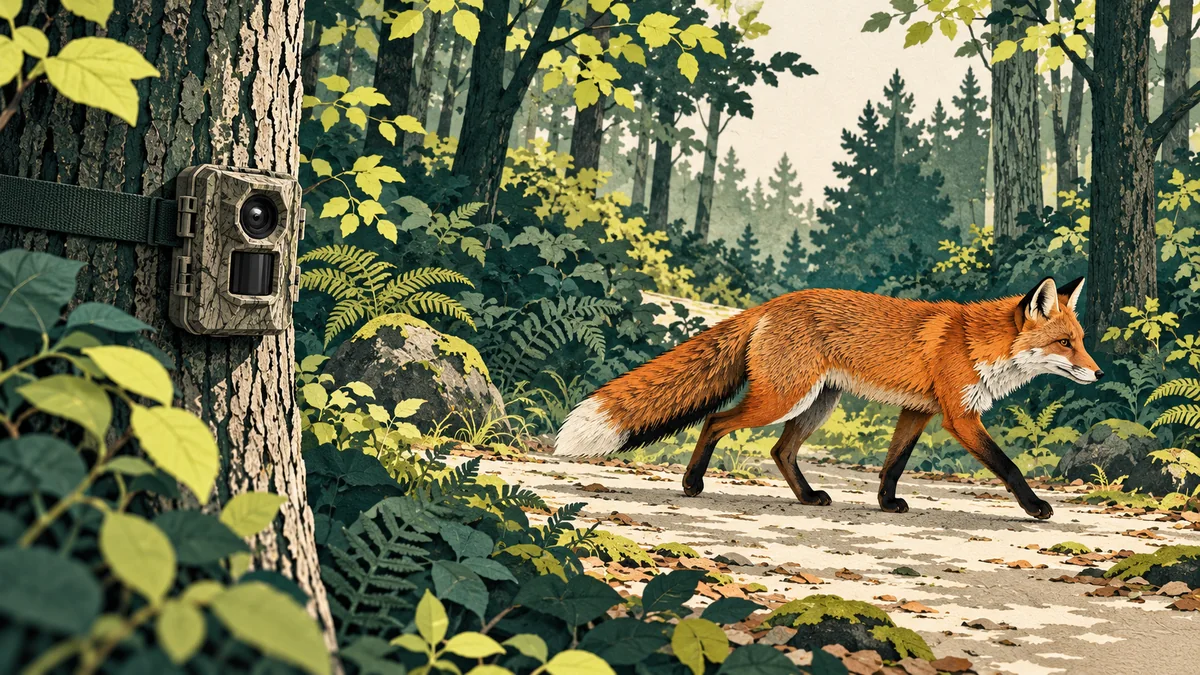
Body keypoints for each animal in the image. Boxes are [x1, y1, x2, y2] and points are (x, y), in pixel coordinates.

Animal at [554, 277, 1102, 520]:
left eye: (1080, 340)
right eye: (1065, 343)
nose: (1097, 373)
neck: (977, 344)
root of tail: (770, 304)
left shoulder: (917, 411)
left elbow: (893, 464)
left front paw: (886, 503)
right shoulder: (958, 417)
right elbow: (1008, 466)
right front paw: (1036, 506)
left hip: (818, 404)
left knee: (780, 450)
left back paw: (807, 497)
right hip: (783, 399)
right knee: (715, 421)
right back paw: (692, 484)